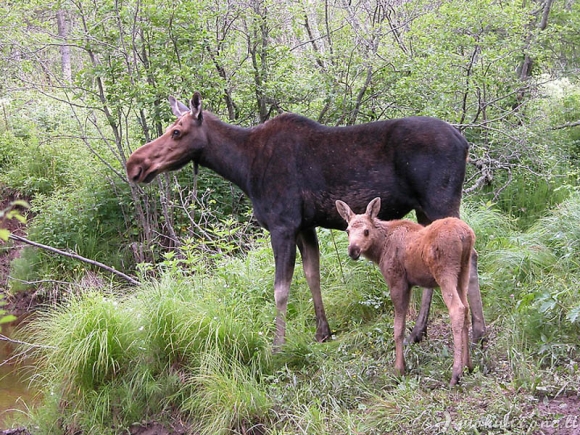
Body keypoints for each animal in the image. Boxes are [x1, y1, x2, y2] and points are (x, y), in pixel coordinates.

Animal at [125, 93, 484, 350]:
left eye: (177, 132)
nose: (134, 164)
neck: (242, 168)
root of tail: (465, 143)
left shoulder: (282, 224)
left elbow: (281, 289)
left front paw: (278, 346)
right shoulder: (305, 225)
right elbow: (313, 275)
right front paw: (322, 332)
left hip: (440, 200)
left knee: (471, 255)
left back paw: (478, 331)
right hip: (424, 208)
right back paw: (419, 331)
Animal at [336, 199, 476, 386]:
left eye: (366, 231)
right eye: (347, 231)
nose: (353, 250)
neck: (380, 250)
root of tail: (464, 235)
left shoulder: (398, 282)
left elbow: (398, 328)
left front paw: (399, 370)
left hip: (445, 272)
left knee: (457, 309)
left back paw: (456, 373)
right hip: (463, 270)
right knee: (466, 308)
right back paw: (468, 365)